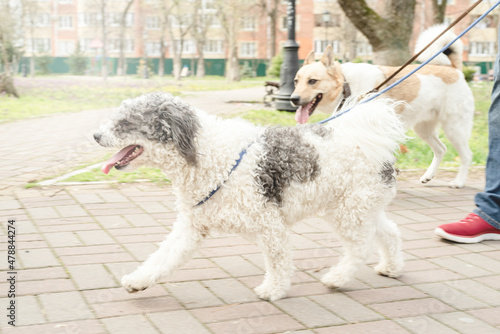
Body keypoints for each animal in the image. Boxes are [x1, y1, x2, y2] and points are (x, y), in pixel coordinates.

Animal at [94, 92, 406, 302]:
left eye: (125, 122)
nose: (95, 135)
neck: (209, 155)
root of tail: (366, 140)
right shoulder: (191, 226)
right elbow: (162, 258)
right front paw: (138, 281)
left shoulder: (270, 224)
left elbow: (279, 262)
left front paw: (273, 290)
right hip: (358, 208)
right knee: (389, 233)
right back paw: (391, 268)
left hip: (348, 212)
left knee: (360, 248)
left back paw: (337, 278)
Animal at [292, 25, 474, 188]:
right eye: (296, 81)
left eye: (312, 81)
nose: (293, 99)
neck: (346, 85)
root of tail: (454, 69)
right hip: (424, 130)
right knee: (441, 149)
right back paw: (428, 176)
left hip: (454, 129)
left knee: (466, 155)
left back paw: (458, 182)